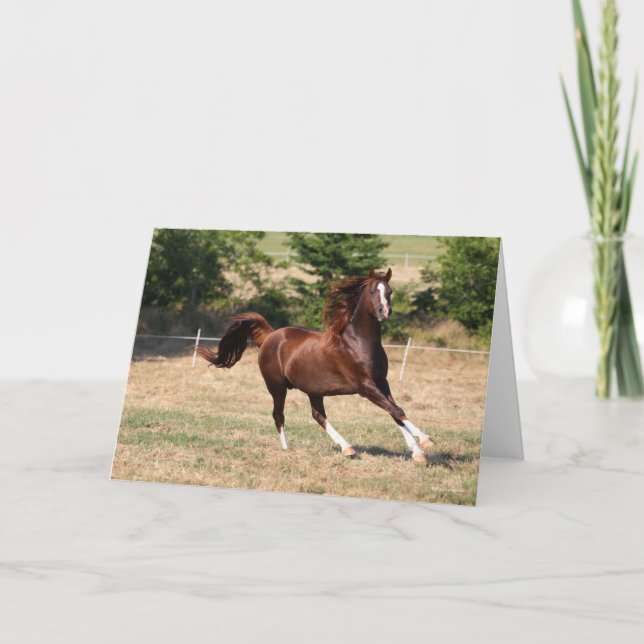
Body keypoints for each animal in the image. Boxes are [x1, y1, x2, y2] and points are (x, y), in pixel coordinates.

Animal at [196, 268, 435, 463]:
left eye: (390, 291)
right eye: (372, 292)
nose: (384, 312)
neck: (358, 343)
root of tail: (271, 336)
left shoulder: (381, 382)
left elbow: (394, 411)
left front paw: (417, 452)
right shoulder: (365, 386)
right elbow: (396, 409)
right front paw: (426, 440)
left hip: (314, 391)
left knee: (318, 416)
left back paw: (347, 448)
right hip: (277, 387)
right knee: (278, 415)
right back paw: (287, 448)